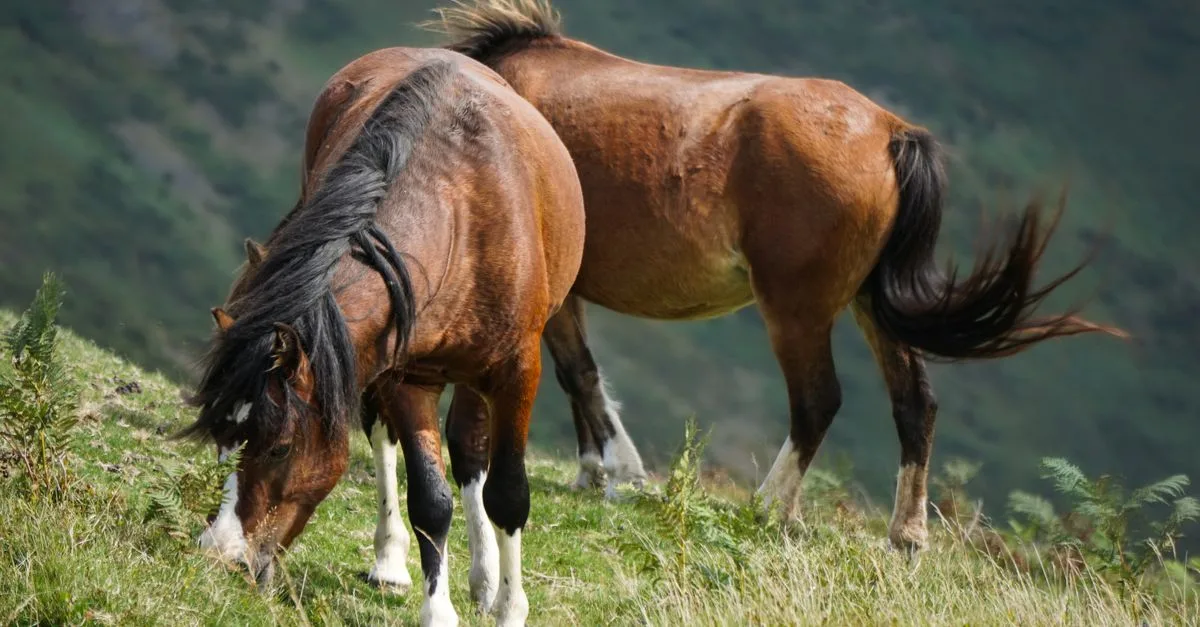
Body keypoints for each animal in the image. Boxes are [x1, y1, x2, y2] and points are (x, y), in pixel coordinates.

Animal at [183, 45, 585, 627]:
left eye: (280, 448)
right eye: (221, 438)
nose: (221, 554)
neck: (460, 218)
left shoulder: (517, 372)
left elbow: (508, 494)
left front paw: (510, 607)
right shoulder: (405, 375)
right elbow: (430, 500)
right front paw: (437, 610)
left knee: (471, 454)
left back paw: (487, 579)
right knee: (387, 439)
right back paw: (392, 562)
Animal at [422, 0, 1127, 551]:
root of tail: (889, 132)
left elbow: (579, 374)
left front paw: (620, 473)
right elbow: (576, 376)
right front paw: (593, 470)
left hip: (796, 309)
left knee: (818, 401)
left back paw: (768, 508)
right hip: (869, 305)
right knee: (913, 403)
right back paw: (906, 534)